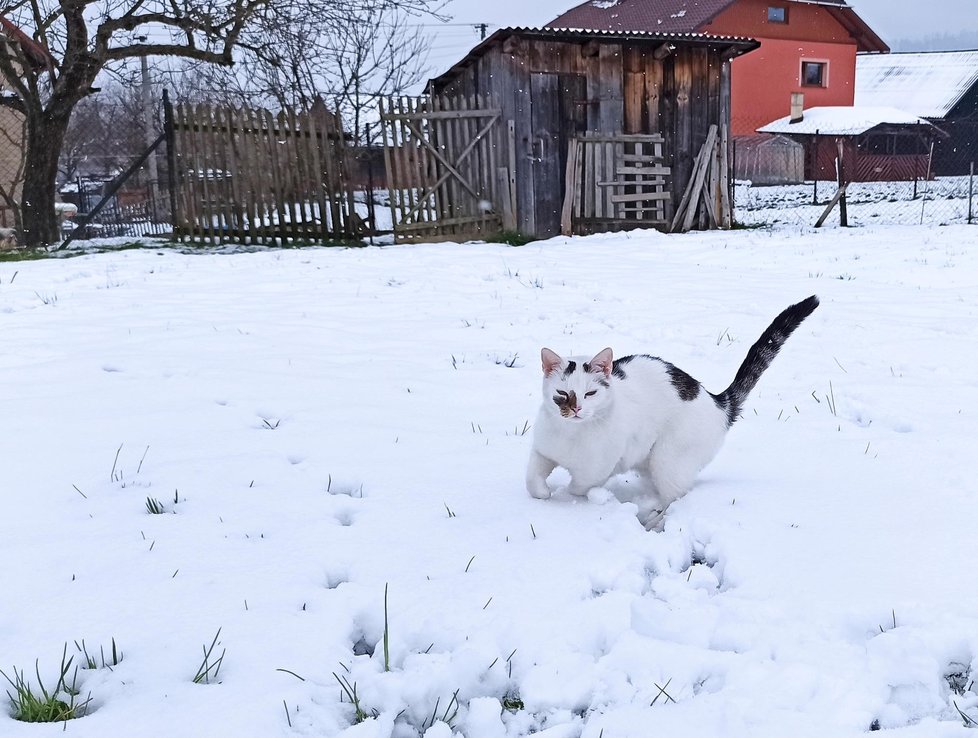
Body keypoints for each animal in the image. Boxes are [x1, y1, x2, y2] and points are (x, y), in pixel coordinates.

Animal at [528, 294, 816, 528]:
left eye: (590, 394)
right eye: (562, 393)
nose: (576, 409)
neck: (571, 435)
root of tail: (717, 402)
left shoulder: (595, 471)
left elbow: (578, 487)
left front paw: (571, 497)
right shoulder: (542, 451)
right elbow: (532, 481)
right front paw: (543, 493)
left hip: (668, 460)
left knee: (675, 498)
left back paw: (653, 520)